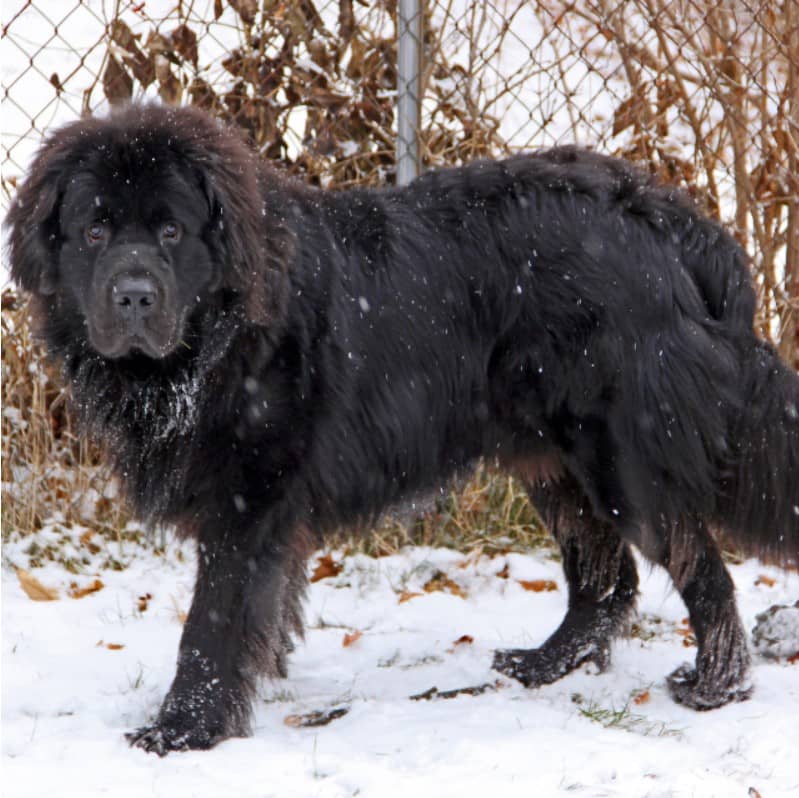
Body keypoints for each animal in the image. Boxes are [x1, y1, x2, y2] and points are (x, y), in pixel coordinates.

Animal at [7, 104, 799, 756]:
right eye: (95, 231)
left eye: (170, 230)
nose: (134, 295)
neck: (216, 341)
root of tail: (668, 217)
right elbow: (265, 607)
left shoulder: (248, 497)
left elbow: (212, 623)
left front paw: (183, 730)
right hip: (550, 457)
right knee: (606, 577)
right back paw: (544, 665)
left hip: (617, 456)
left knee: (698, 566)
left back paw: (714, 686)